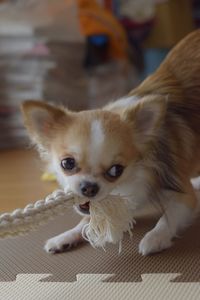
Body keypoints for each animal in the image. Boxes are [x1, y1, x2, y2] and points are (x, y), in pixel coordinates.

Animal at [21, 29, 200, 255]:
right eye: (67, 163)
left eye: (116, 170)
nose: (89, 187)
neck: (133, 178)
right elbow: (86, 221)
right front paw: (66, 236)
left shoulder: (183, 196)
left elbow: (168, 218)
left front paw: (155, 238)